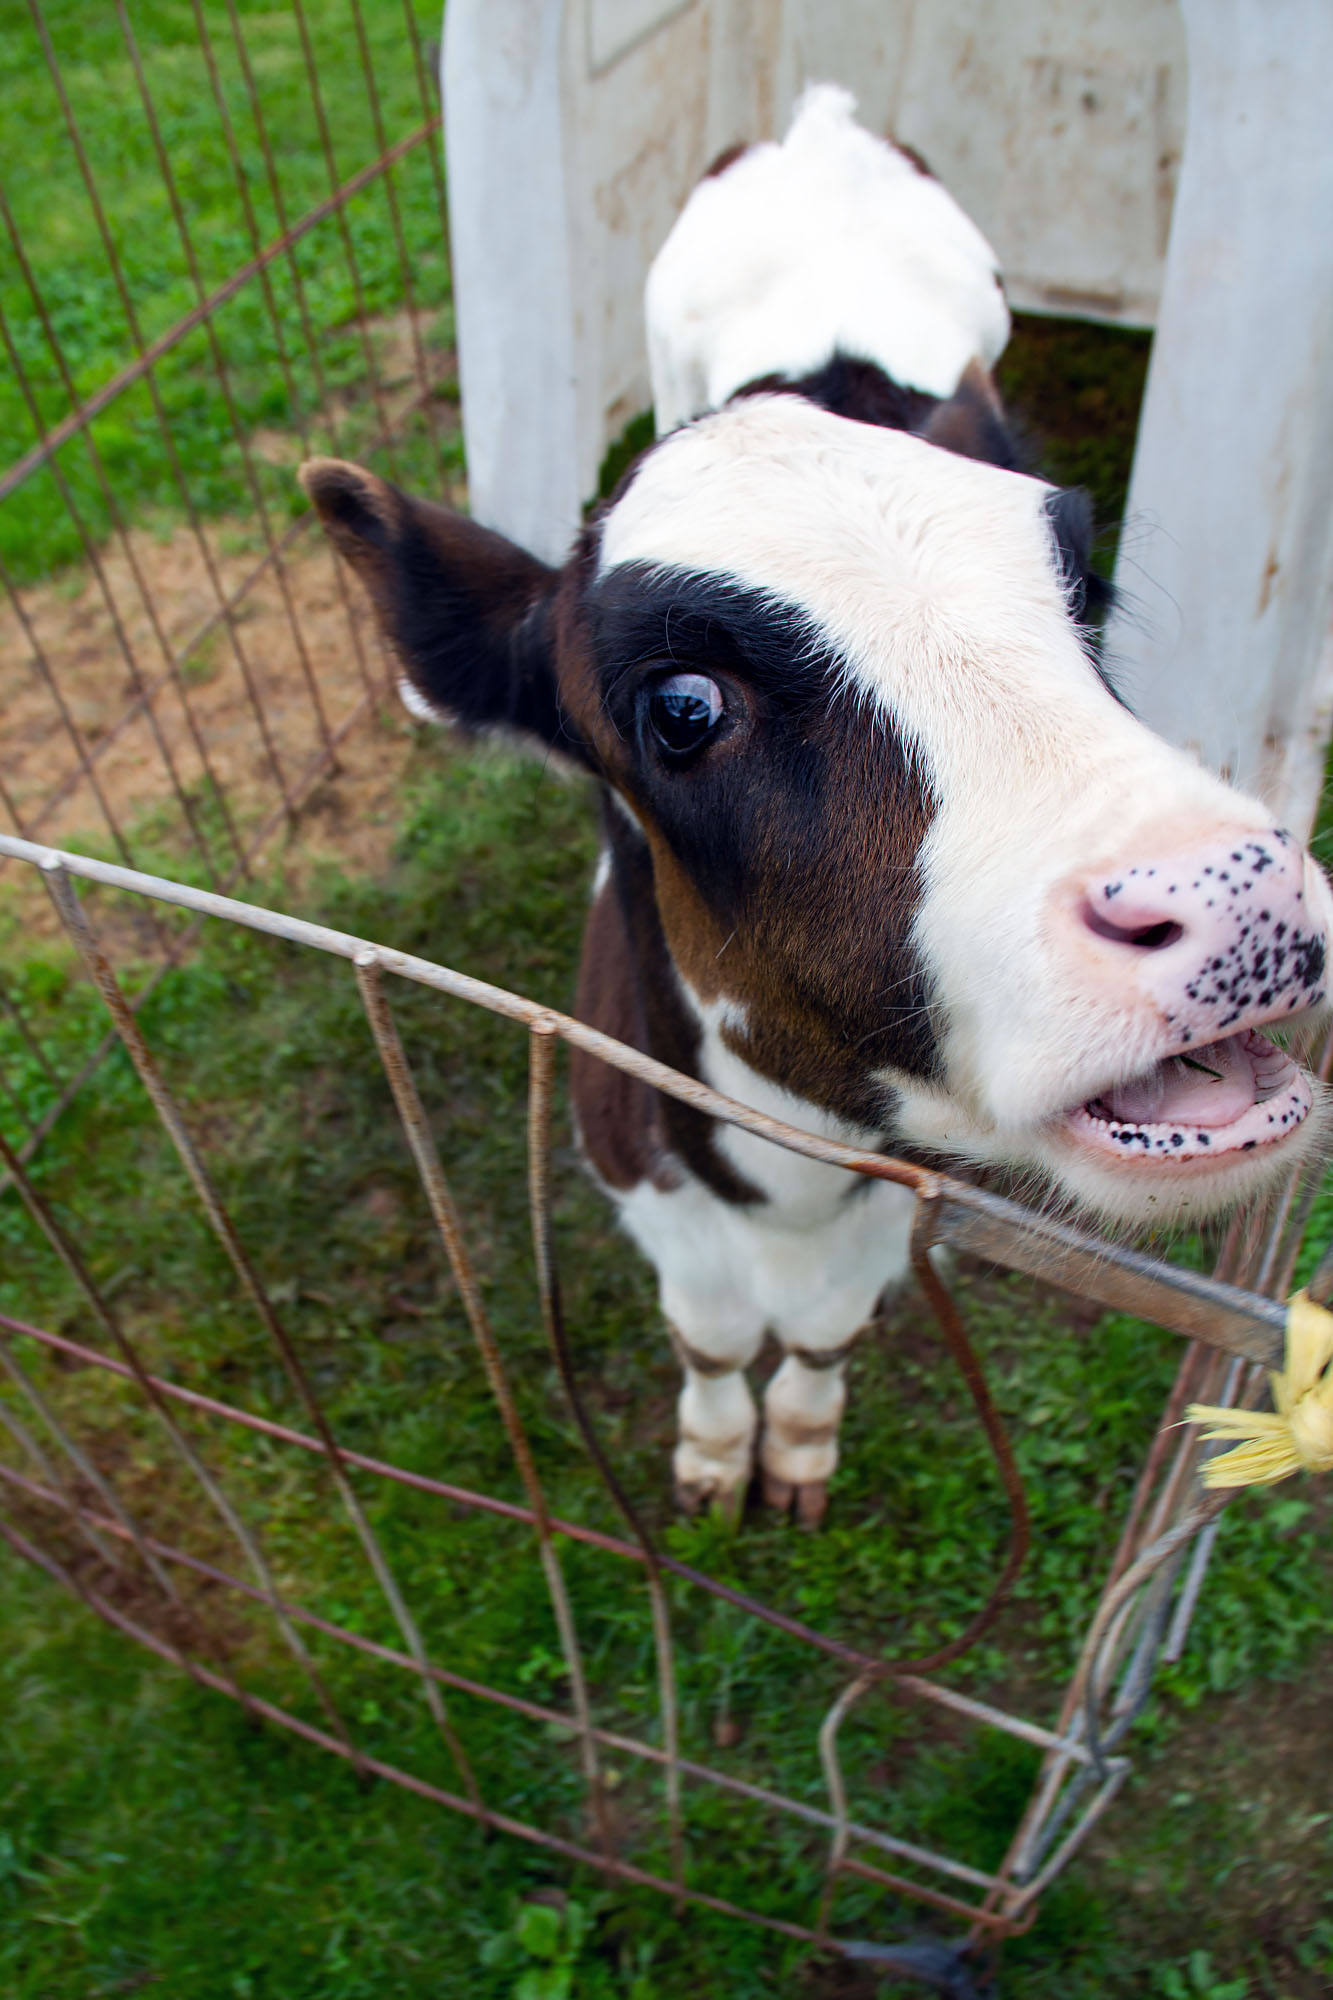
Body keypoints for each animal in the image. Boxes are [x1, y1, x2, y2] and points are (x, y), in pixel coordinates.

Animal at [300, 86, 1328, 1520]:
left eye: (1086, 598)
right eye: (681, 707)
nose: (1238, 893)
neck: (781, 1192)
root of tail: (818, 122)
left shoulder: (898, 1178)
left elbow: (830, 1328)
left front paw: (792, 1445)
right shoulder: (631, 1150)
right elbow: (707, 1333)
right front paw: (711, 1455)